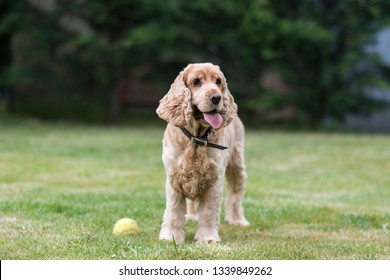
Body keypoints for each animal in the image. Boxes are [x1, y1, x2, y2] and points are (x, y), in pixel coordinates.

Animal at [156, 61, 250, 243]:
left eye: (218, 81)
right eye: (196, 82)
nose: (217, 97)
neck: (197, 139)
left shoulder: (214, 179)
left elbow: (209, 211)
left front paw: (207, 238)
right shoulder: (174, 177)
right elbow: (174, 210)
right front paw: (171, 237)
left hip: (237, 166)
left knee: (235, 196)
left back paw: (237, 220)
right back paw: (192, 216)